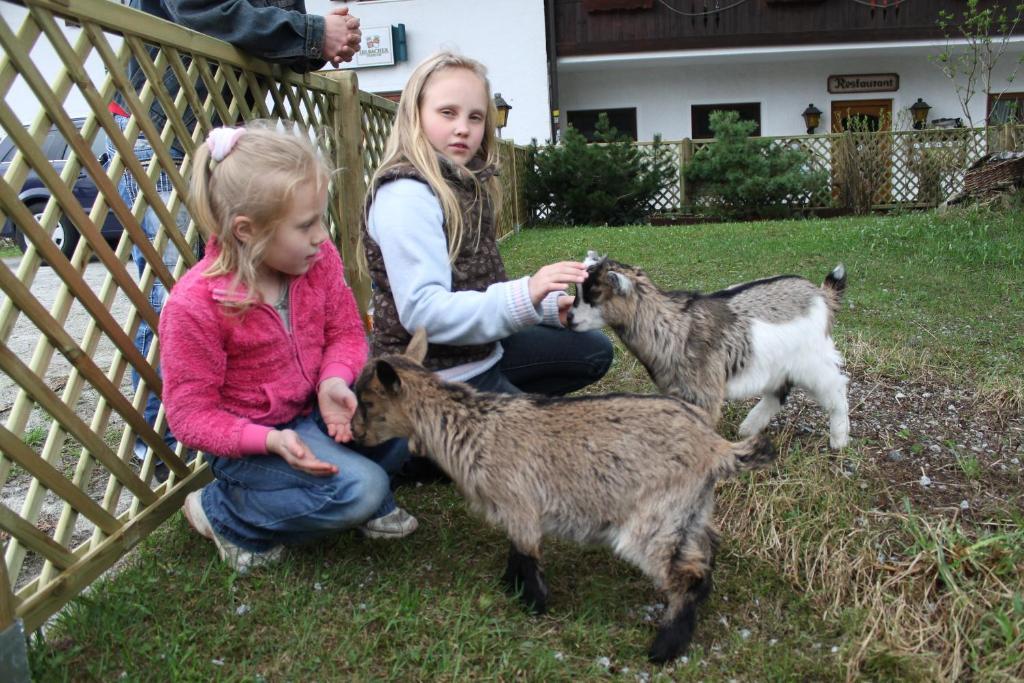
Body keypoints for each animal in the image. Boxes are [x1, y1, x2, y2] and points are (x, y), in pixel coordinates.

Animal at [352, 327, 774, 663]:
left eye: (368, 403)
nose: (355, 434)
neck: (472, 426)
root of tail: (716, 448)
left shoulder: (518, 503)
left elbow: (527, 553)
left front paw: (534, 605)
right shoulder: (514, 510)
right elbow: (516, 550)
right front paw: (509, 587)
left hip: (653, 519)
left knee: (684, 574)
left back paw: (664, 648)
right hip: (690, 510)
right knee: (706, 551)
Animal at [569, 253, 847, 450]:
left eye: (594, 294)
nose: (568, 318)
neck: (671, 324)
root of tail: (820, 295)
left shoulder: (704, 392)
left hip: (811, 357)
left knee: (835, 385)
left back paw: (840, 438)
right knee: (778, 391)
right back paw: (750, 427)